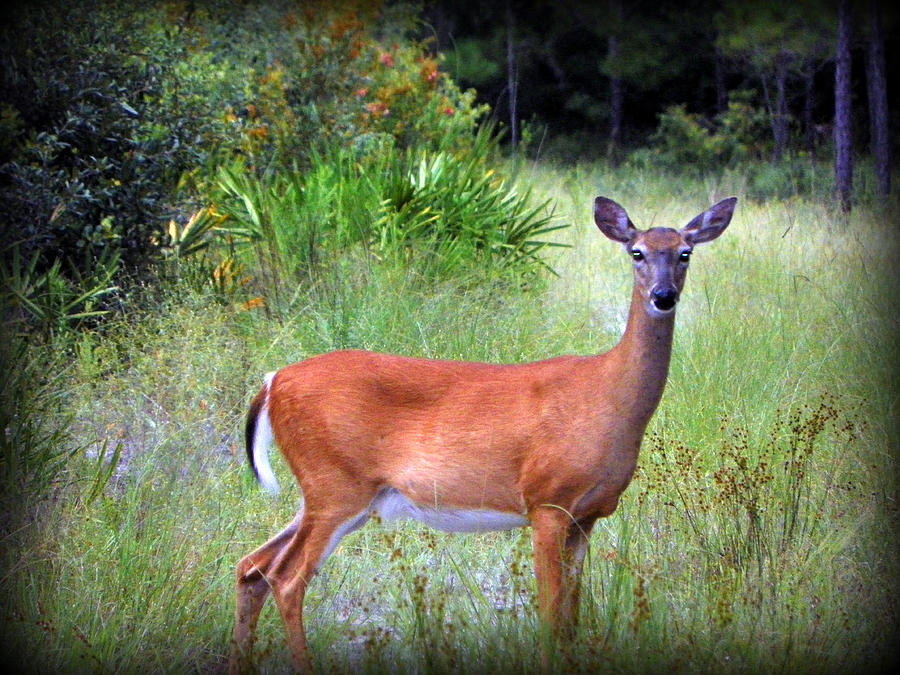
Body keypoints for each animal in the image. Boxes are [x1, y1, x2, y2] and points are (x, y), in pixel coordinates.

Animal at [230, 194, 740, 672]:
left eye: (685, 253)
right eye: (637, 252)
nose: (663, 295)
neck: (608, 401)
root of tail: (274, 381)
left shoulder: (588, 516)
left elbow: (572, 620)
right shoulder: (546, 502)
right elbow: (551, 617)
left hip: (331, 492)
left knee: (251, 566)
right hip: (335, 484)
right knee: (286, 580)